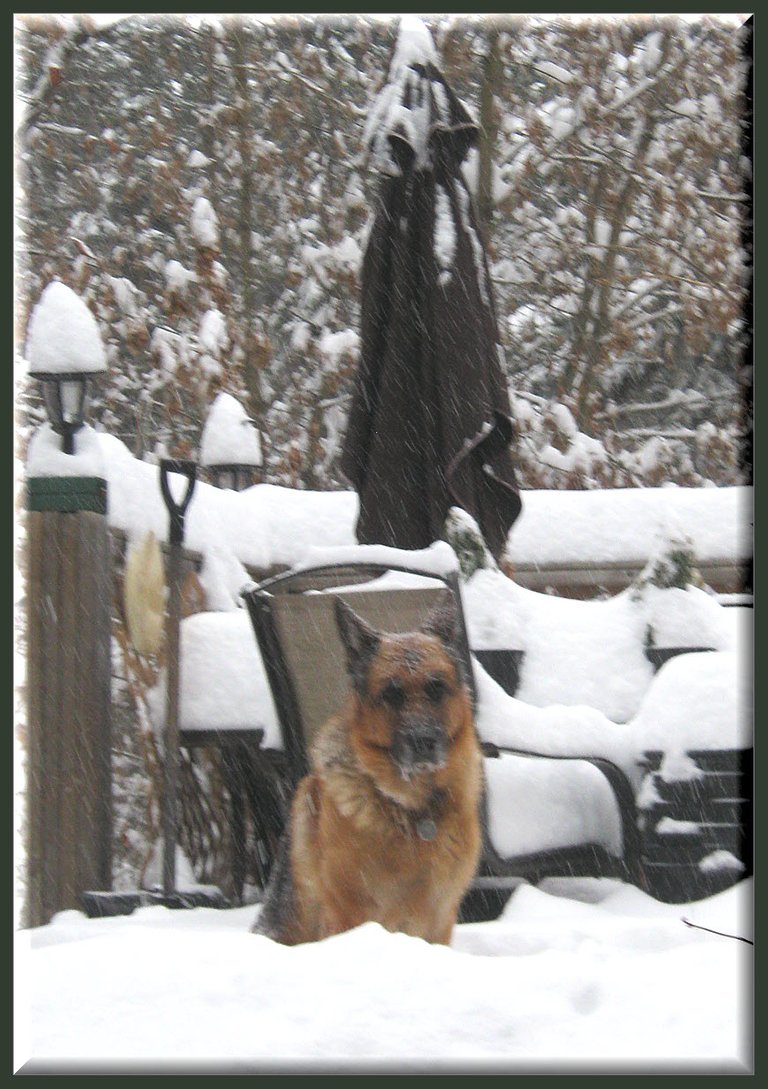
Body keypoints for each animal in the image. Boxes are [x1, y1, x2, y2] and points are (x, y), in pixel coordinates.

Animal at [251, 596, 479, 945]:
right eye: (391, 694)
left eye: (436, 688)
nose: (423, 741)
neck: (413, 811)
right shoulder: (351, 915)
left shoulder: (440, 920)